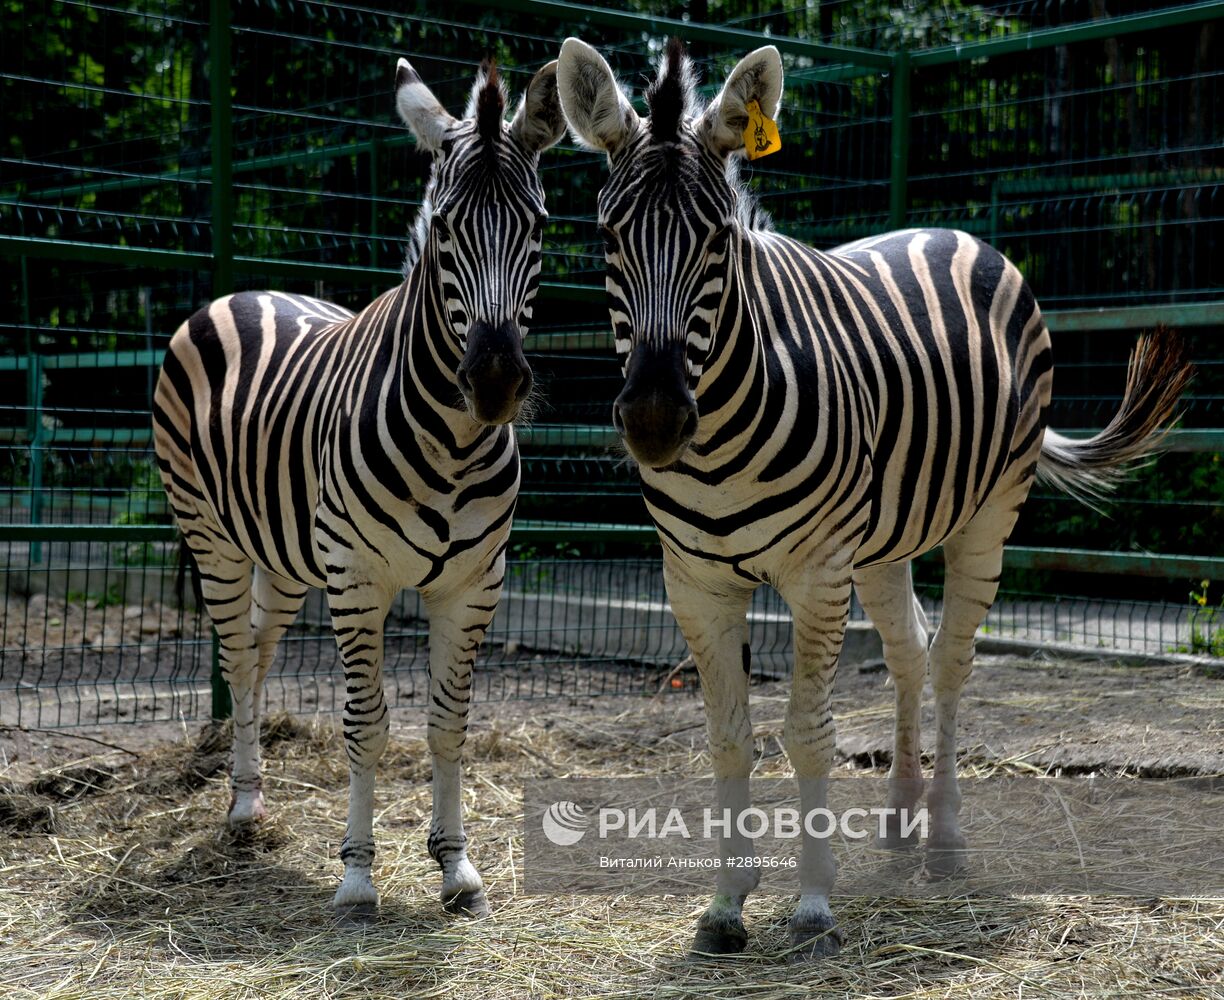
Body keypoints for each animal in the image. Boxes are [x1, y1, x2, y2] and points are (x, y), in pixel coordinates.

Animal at [154, 52, 567, 910]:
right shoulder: (357, 579)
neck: (452, 445)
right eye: (443, 228)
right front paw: (356, 875)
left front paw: (455, 865)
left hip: (282, 554)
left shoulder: (475, 582)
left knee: (260, 650)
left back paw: (254, 795)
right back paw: (240, 809)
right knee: (235, 658)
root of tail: (246, 290)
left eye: (540, 225)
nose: (496, 381)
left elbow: (447, 722)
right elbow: (366, 723)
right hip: (211, 535)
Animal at [560, 39, 1189, 959]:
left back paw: (946, 839)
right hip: (886, 539)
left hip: (989, 513)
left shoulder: (818, 572)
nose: (653, 420)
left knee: (955, 659)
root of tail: (953, 231)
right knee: (911, 652)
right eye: (608, 235)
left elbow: (806, 731)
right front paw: (725, 905)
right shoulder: (696, 581)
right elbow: (729, 739)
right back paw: (899, 821)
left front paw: (814, 904)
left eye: (719, 240)